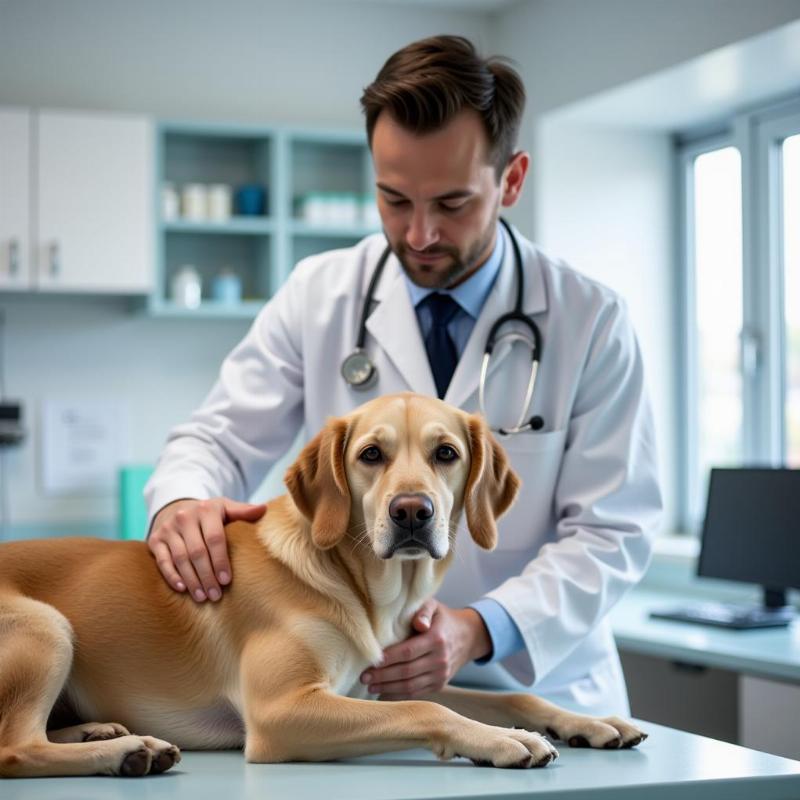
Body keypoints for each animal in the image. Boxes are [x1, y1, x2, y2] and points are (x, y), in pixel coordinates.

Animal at [0, 392, 644, 776]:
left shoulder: (374, 686)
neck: (359, 586)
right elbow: (427, 707)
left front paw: (592, 722)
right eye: (371, 454)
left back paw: (97, 731)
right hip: (47, 626)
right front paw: (504, 739)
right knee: (15, 747)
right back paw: (130, 750)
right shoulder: (282, 711)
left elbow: (511, 696)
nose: (413, 513)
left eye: (446, 453)